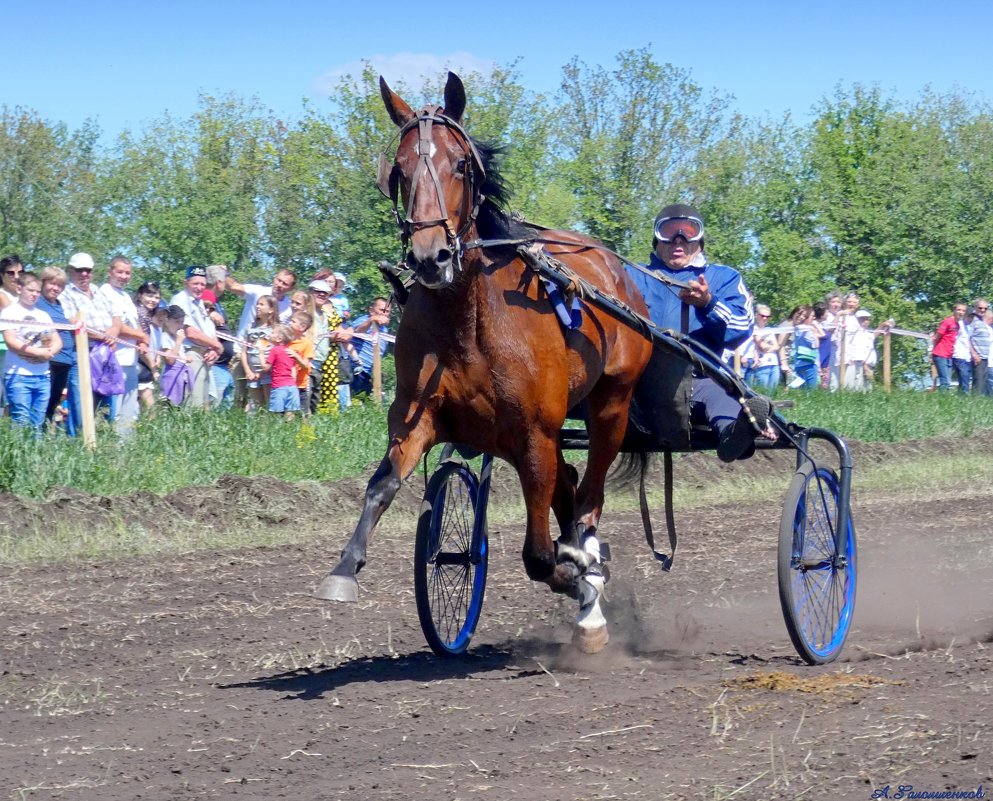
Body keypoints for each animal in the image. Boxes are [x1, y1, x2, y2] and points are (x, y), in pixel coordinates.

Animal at [318, 72, 656, 652]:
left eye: (460, 164)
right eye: (399, 171)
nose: (431, 257)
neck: (467, 322)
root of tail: (616, 269)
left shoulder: (534, 433)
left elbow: (539, 555)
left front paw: (576, 573)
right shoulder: (418, 418)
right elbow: (381, 485)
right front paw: (344, 569)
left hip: (610, 404)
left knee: (587, 499)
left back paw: (588, 586)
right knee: (569, 486)